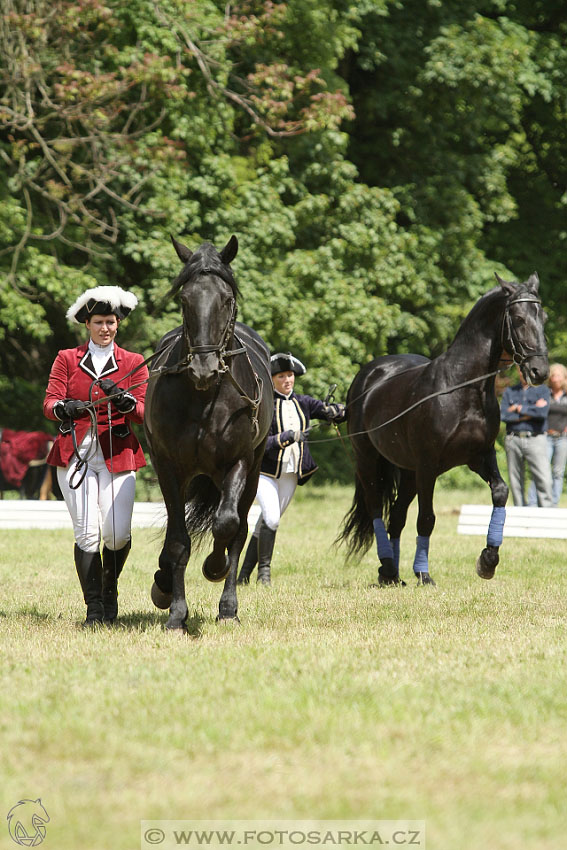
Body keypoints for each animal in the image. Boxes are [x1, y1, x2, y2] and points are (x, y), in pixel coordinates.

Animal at [144, 235, 272, 628]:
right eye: (185, 299)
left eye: (226, 298)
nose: (204, 368)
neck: (203, 399)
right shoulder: (168, 466)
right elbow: (178, 540)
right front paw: (175, 612)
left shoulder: (239, 462)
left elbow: (227, 525)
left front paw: (214, 568)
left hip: (252, 471)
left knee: (239, 529)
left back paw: (228, 607)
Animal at [342, 274, 552, 588]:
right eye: (517, 318)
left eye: (543, 317)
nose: (540, 371)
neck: (463, 388)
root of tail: (369, 374)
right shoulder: (429, 466)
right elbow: (426, 518)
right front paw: (424, 574)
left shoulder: (480, 457)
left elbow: (500, 493)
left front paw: (487, 562)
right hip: (369, 459)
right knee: (377, 509)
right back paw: (389, 567)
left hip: (408, 471)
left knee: (397, 516)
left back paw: (392, 574)